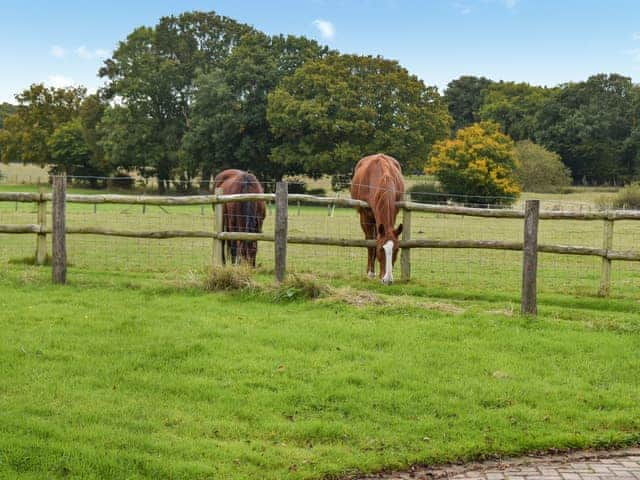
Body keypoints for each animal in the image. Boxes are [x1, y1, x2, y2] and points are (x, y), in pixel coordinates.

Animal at [350, 153, 404, 284]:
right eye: (381, 249)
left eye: (396, 250)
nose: (387, 279)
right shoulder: (366, 216)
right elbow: (370, 243)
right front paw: (371, 273)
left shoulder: (394, 214)